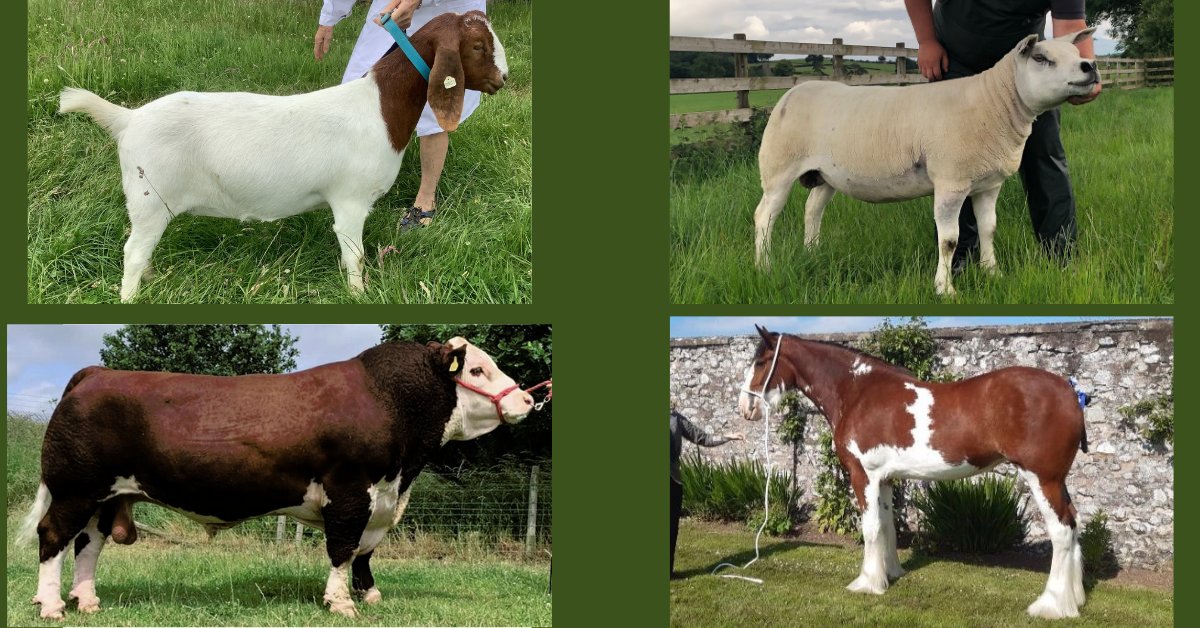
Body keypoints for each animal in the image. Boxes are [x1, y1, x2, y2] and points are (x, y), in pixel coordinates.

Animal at [18, 337, 536, 620]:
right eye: (477, 369)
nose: (529, 399)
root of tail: (97, 373)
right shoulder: (352, 491)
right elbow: (343, 549)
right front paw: (341, 603)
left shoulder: (380, 498)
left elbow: (365, 553)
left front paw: (369, 594)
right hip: (74, 490)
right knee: (53, 537)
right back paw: (52, 605)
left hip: (104, 497)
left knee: (89, 544)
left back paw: (87, 601)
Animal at [59, 11, 508, 302]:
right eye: (478, 45)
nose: (504, 78)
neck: (378, 107)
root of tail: (127, 118)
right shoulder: (350, 201)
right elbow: (355, 255)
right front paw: (359, 295)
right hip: (150, 197)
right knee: (133, 252)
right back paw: (131, 298)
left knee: (141, 248)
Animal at [736, 326, 1088, 619]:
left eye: (761, 361)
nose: (745, 408)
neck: (858, 392)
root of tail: (1070, 391)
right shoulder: (885, 478)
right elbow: (888, 526)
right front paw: (890, 574)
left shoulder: (862, 474)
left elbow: (871, 529)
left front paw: (867, 583)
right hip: (1058, 481)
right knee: (1073, 524)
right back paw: (1075, 599)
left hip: (1043, 479)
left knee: (1061, 531)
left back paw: (1050, 605)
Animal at [752, 29, 1098, 296]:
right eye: (1041, 58)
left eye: (1074, 52)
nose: (1090, 66)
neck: (994, 105)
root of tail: (792, 92)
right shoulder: (950, 182)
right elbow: (949, 240)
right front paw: (945, 290)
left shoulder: (988, 185)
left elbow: (988, 229)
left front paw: (993, 274)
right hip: (779, 167)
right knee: (764, 217)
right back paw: (764, 267)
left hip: (826, 174)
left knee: (812, 209)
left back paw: (813, 253)